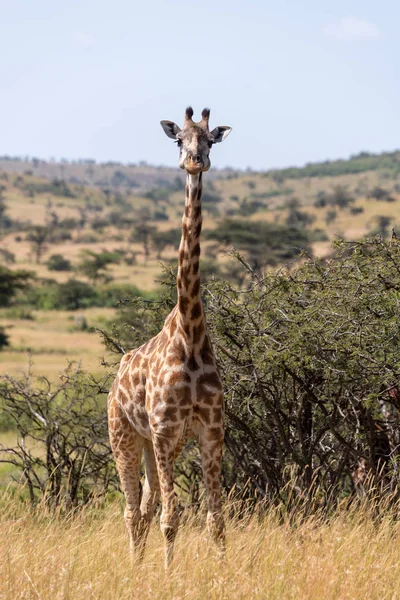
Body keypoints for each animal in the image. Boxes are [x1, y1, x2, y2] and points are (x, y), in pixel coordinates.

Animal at [107, 105, 231, 568]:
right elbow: (171, 516)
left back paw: (139, 564)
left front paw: (222, 572)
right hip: (124, 434)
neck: (191, 334)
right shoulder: (164, 430)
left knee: (144, 506)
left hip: (153, 442)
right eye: (180, 139)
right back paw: (134, 566)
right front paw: (168, 573)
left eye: (210, 140)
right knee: (132, 509)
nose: (195, 162)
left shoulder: (210, 430)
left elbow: (216, 518)